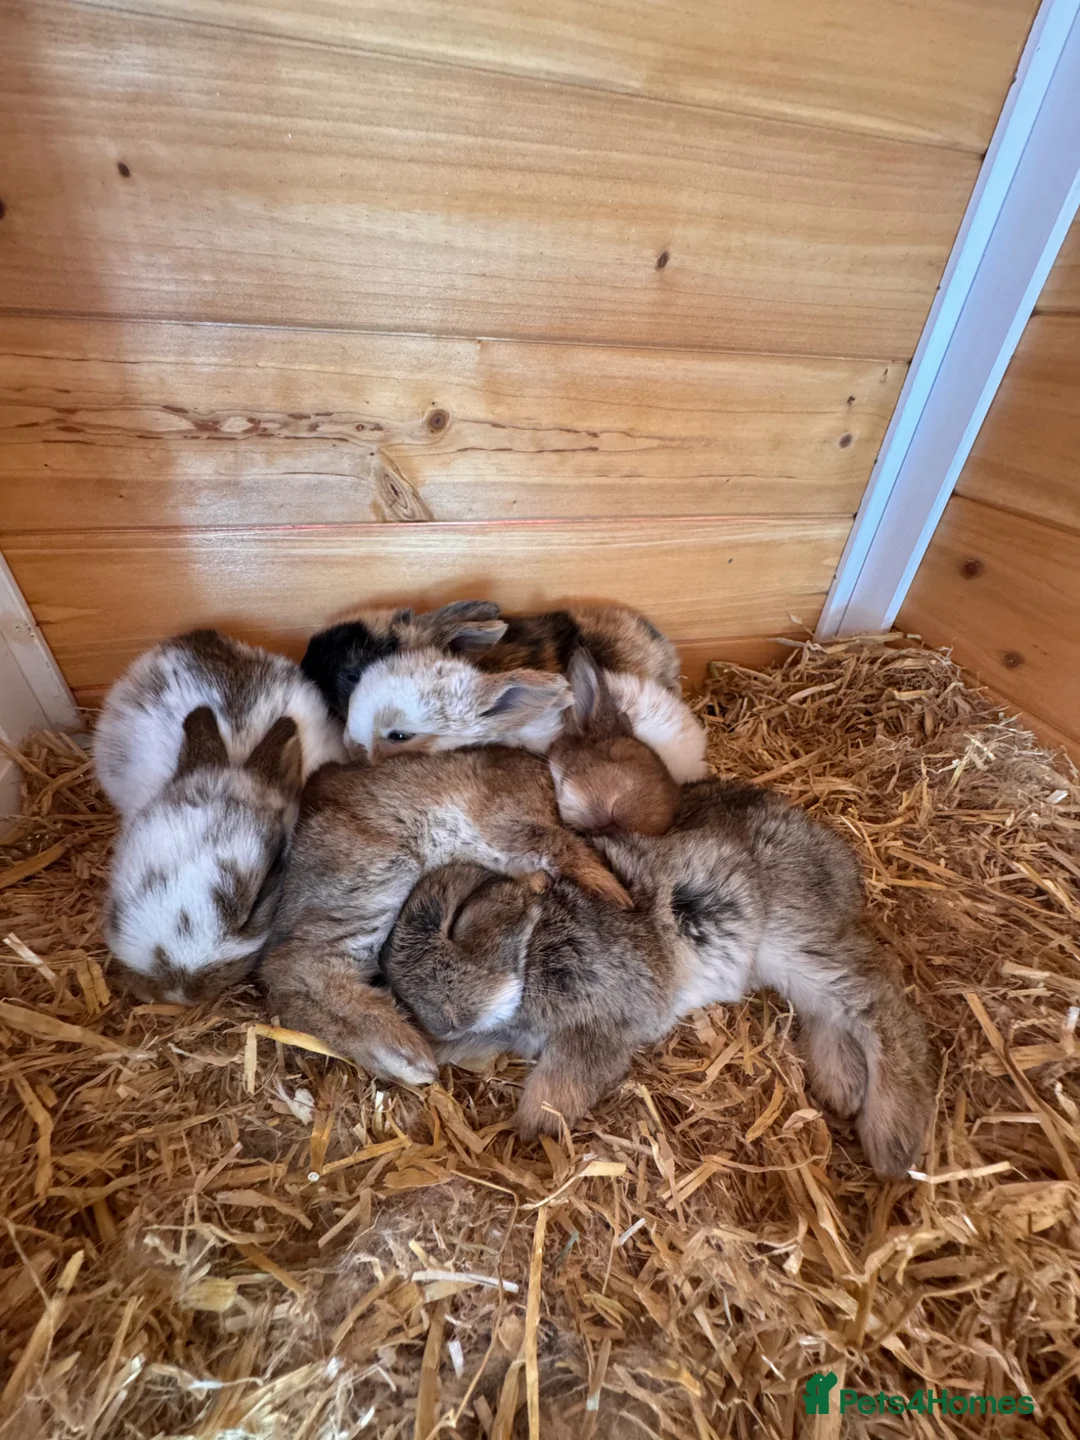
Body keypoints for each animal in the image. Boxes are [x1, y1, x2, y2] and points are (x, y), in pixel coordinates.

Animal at [258, 746, 636, 1087]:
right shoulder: (511, 821)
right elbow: (561, 846)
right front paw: (616, 894)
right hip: (378, 878)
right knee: (296, 968)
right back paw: (407, 1056)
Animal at [382, 777, 933, 1180]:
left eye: (459, 917)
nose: (445, 1020)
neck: (534, 939)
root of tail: (837, 859)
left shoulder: (605, 1018)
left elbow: (565, 1079)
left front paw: (529, 1128)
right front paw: (430, 1055)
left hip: (790, 937)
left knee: (877, 1001)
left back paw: (891, 1140)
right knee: (832, 1009)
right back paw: (841, 1084)